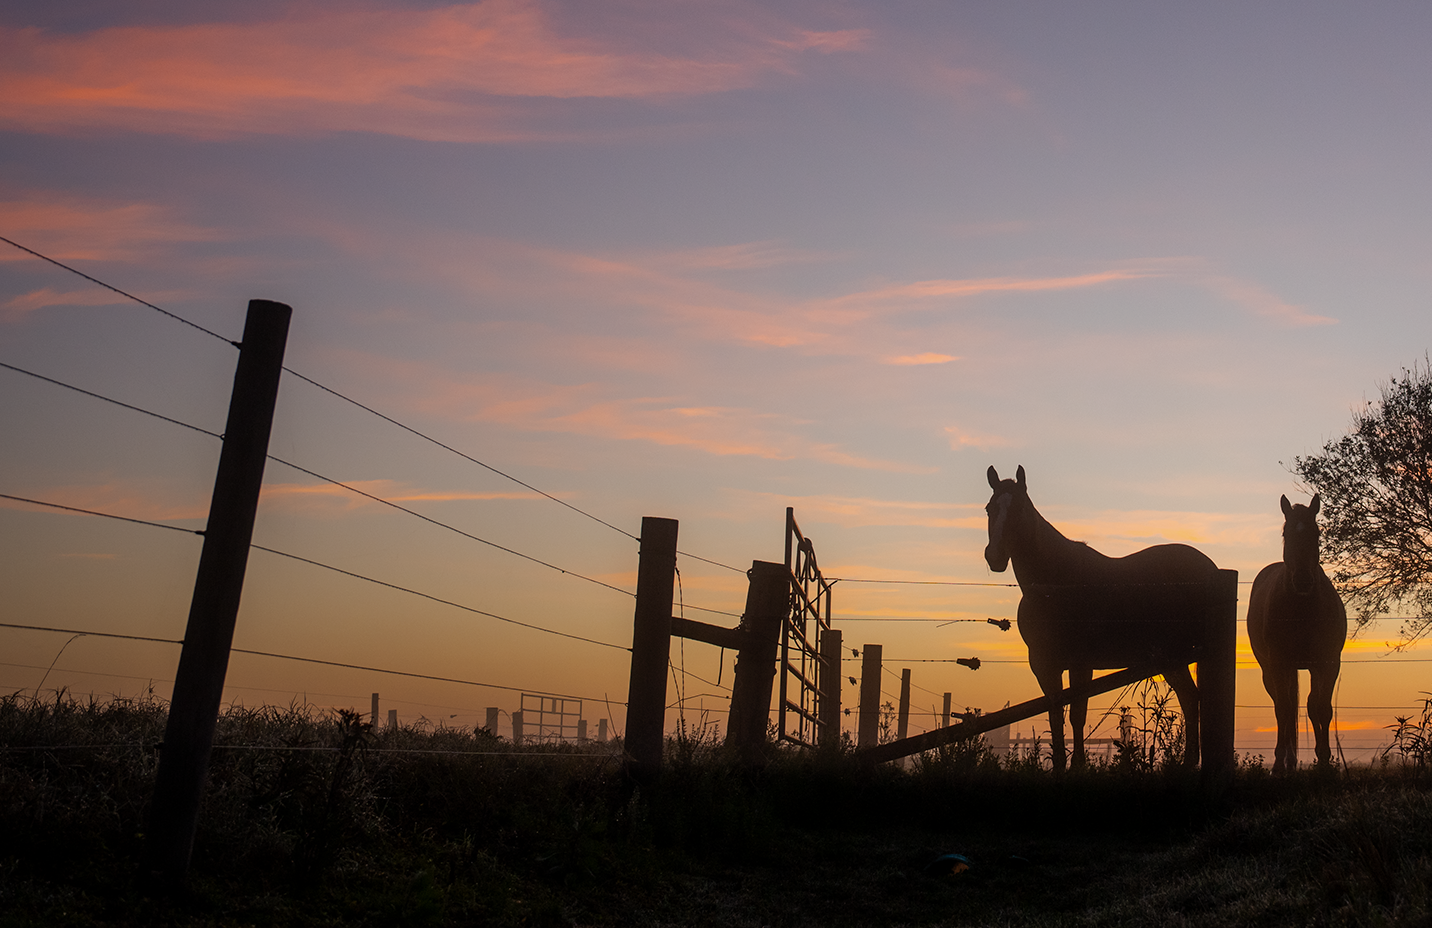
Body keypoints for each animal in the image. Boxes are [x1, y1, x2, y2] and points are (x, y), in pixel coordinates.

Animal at [984, 465, 1222, 771]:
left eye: (1019, 508)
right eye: (989, 509)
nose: (995, 556)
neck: (1054, 584)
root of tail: (1212, 569)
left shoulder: (1081, 663)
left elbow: (1077, 715)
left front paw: (1078, 767)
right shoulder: (1044, 666)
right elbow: (1055, 716)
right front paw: (1060, 766)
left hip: (1176, 656)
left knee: (1191, 699)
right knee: (1190, 698)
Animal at [1247, 494, 1347, 772]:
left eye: (1316, 532)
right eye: (1287, 532)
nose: (1302, 580)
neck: (1302, 608)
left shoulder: (1327, 663)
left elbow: (1320, 708)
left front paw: (1324, 760)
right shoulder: (1279, 664)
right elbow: (1283, 708)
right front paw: (1279, 764)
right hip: (1271, 668)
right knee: (1284, 705)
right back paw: (1286, 761)